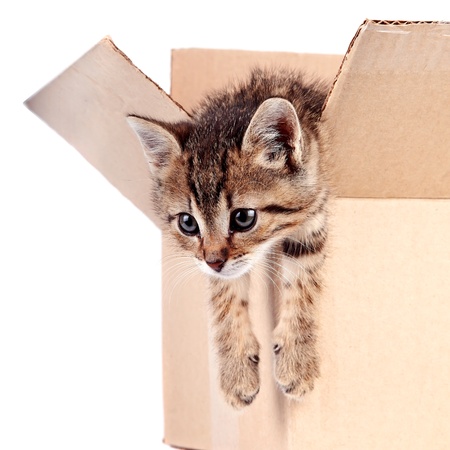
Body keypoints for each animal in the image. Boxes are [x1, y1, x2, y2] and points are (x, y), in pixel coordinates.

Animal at [128, 68, 328, 410]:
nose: (214, 261)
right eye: (187, 223)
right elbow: (226, 296)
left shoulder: (315, 212)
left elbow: (302, 280)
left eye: (243, 218)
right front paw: (236, 371)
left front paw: (296, 360)